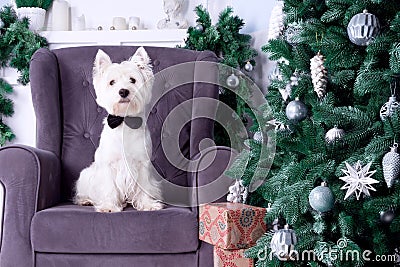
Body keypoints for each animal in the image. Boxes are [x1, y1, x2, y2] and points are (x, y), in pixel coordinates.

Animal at [74, 47, 163, 213]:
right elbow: (109, 188)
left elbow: (144, 186)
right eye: (112, 82)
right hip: (85, 175)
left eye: (133, 80)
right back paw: (86, 200)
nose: (123, 91)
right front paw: (109, 206)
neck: (124, 122)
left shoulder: (142, 163)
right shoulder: (109, 165)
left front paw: (148, 204)